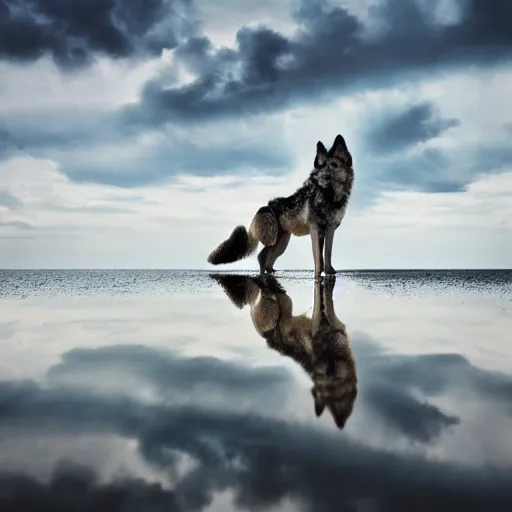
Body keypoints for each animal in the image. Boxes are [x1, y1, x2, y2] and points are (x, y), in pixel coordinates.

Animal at [206, 132, 354, 276]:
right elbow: (318, 257)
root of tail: (264, 208)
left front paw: (328, 271)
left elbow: (327, 253)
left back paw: (271, 272)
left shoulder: (329, 229)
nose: (313, 175)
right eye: (320, 165)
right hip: (275, 241)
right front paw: (318, 275)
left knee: (268, 259)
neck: (329, 198)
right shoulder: (315, 229)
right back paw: (263, 276)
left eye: (334, 165)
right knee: (262, 256)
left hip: (281, 243)